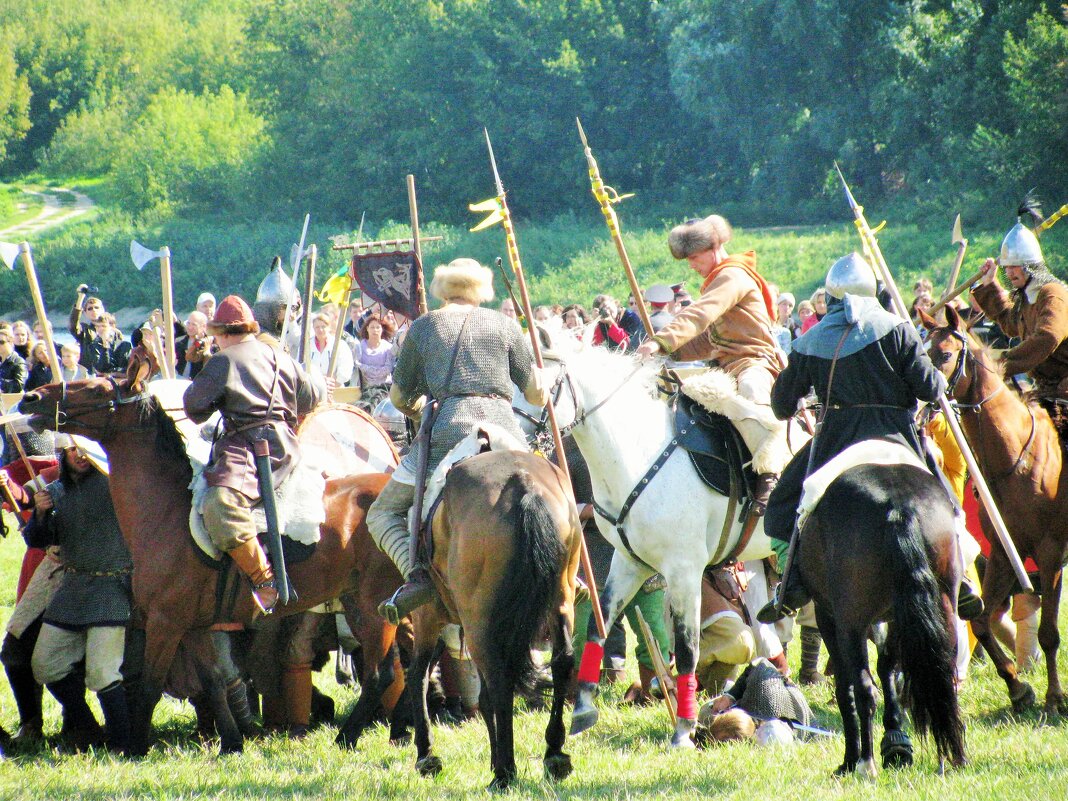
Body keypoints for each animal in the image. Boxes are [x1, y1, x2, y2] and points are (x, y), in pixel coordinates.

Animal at [21, 367, 412, 756]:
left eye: (97, 388)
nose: (31, 398)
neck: (167, 510)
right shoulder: (196, 626)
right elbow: (213, 681)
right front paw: (232, 742)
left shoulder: (165, 622)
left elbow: (150, 684)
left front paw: (134, 748)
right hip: (367, 603)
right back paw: (394, 730)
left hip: (374, 606)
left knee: (381, 674)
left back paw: (349, 735)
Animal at [405, 452, 580, 790]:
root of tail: (523, 483)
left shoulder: (428, 616)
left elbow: (418, 675)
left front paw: (426, 755)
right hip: (559, 598)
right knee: (562, 660)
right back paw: (554, 753)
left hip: (477, 621)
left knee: (499, 682)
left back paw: (505, 772)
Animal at [798, 463, 965, 777]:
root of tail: (899, 505)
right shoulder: (899, 618)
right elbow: (888, 666)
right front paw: (896, 741)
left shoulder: (830, 618)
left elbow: (848, 687)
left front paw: (852, 759)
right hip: (941, 606)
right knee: (941, 674)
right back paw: (951, 756)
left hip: (850, 623)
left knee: (864, 689)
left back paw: (865, 762)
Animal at [922, 307, 1063, 713]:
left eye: (945, 354)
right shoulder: (1002, 553)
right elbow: (982, 621)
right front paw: (1018, 688)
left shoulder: (1050, 553)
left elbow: (1049, 633)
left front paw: (1053, 697)